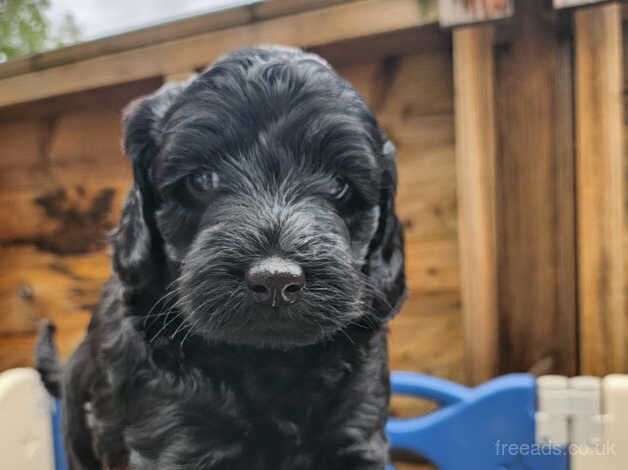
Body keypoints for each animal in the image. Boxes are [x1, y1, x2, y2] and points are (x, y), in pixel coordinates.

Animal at [36, 45, 404, 470]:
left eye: (339, 184)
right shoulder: (174, 436)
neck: (268, 363)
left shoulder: (357, 427)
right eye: (201, 180)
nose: (276, 279)